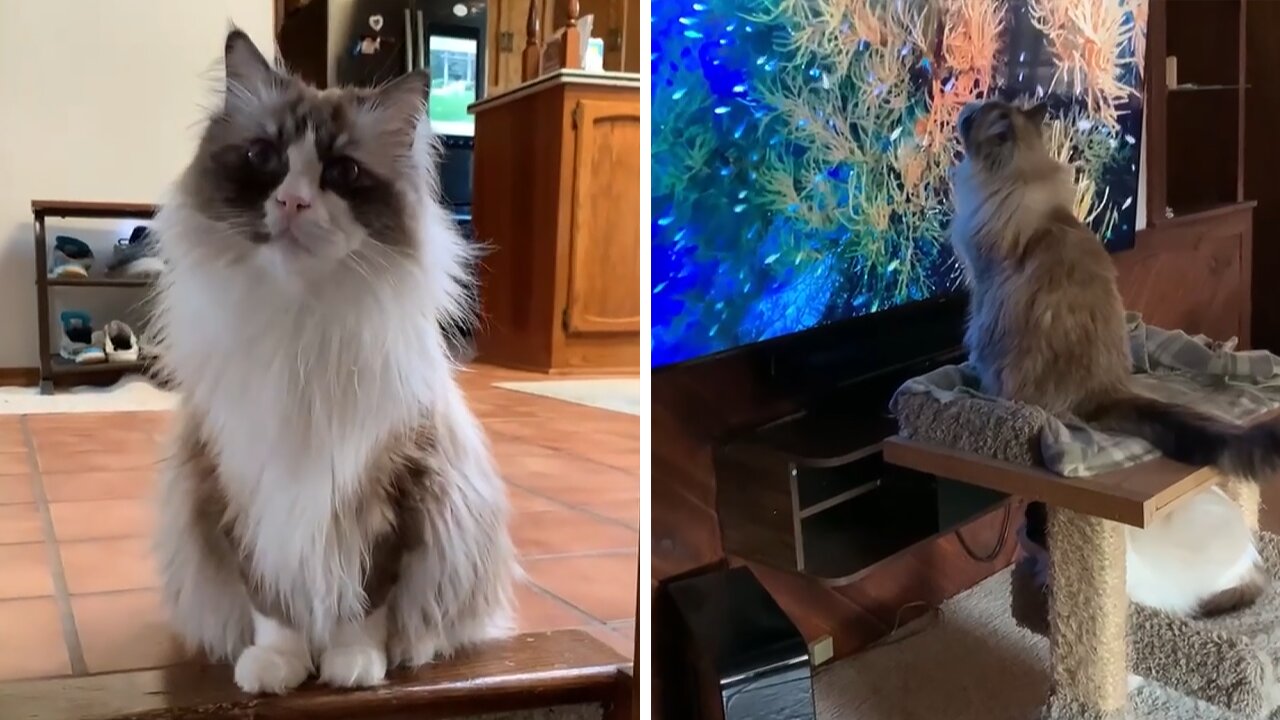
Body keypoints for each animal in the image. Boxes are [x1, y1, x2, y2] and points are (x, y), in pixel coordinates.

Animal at [153, 29, 519, 691]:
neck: (301, 327)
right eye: (264, 158)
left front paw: (351, 665)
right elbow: (270, 603)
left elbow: (365, 600)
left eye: (342, 172)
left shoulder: (390, 490)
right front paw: (279, 667)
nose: (295, 202)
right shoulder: (243, 490)